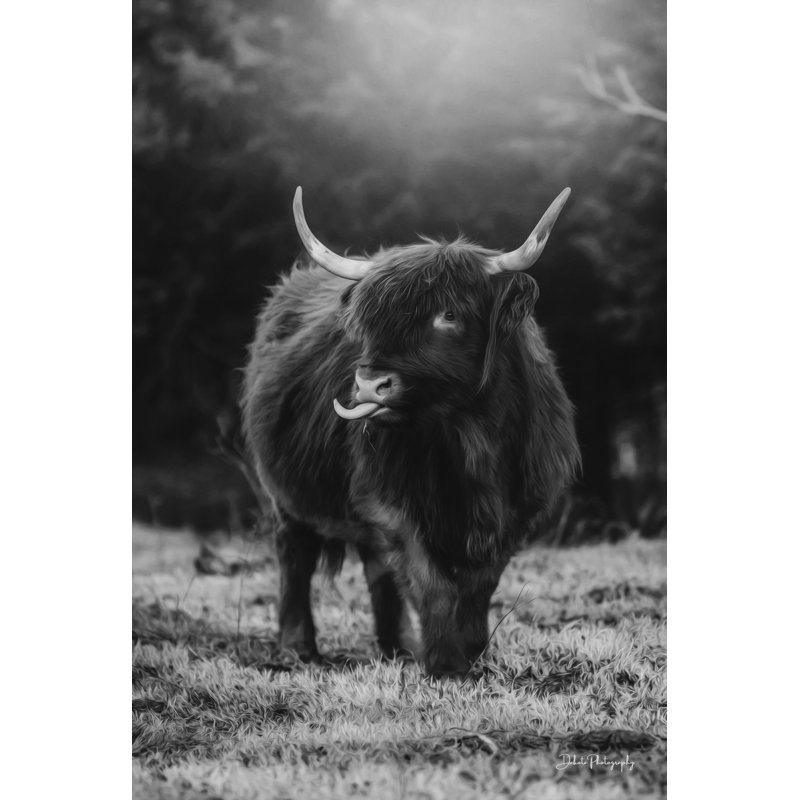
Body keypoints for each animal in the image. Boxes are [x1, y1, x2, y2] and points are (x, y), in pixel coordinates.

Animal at [241, 187, 580, 676]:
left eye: (449, 314)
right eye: (369, 320)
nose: (369, 385)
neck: (469, 439)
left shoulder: (519, 508)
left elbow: (479, 584)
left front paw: (472, 654)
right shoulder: (388, 500)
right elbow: (428, 580)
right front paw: (444, 662)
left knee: (376, 569)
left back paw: (396, 646)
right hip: (283, 494)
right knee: (295, 558)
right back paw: (298, 648)